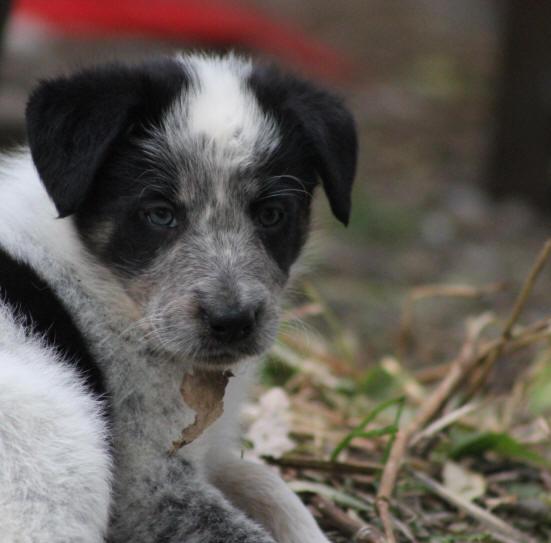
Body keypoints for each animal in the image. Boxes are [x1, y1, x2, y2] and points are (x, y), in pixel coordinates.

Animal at [0, 52, 358, 543]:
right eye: (160, 214)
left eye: (271, 215)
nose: (233, 321)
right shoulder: (147, 490)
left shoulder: (210, 455)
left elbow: (269, 482)